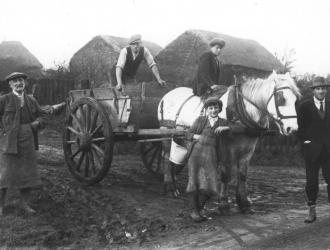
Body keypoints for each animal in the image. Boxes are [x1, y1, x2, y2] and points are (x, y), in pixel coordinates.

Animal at [159, 71, 300, 214]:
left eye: (295, 100)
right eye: (281, 99)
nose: (293, 129)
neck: (241, 110)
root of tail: (167, 95)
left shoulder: (248, 149)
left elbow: (242, 175)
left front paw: (244, 203)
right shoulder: (226, 148)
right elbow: (226, 175)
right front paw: (223, 204)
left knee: (174, 161)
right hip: (166, 136)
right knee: (166, 159)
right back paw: (170, 188)